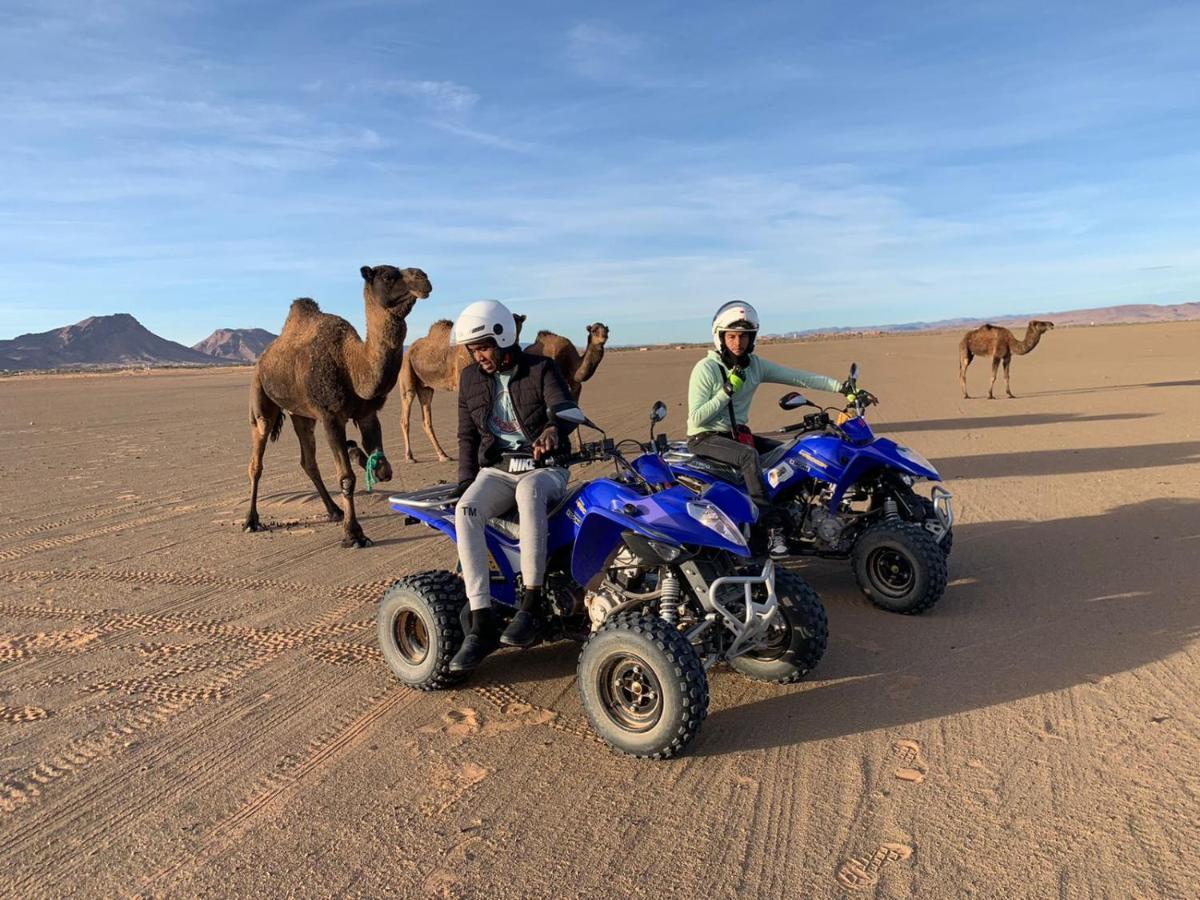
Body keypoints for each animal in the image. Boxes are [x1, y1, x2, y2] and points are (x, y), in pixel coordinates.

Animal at [243, 266, 432, 549]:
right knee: (257, 458)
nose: (423, 277)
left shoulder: (367, 414)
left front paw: (355, 452)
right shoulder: (330, 416)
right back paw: (251, 521)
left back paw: (334, 510)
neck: (352, 365)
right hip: (261, 395)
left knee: (308, 461)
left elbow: (383, 468)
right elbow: (346, 477)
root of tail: (263, 357)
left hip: (302, 414)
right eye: (388, 276)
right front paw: (353, 534)